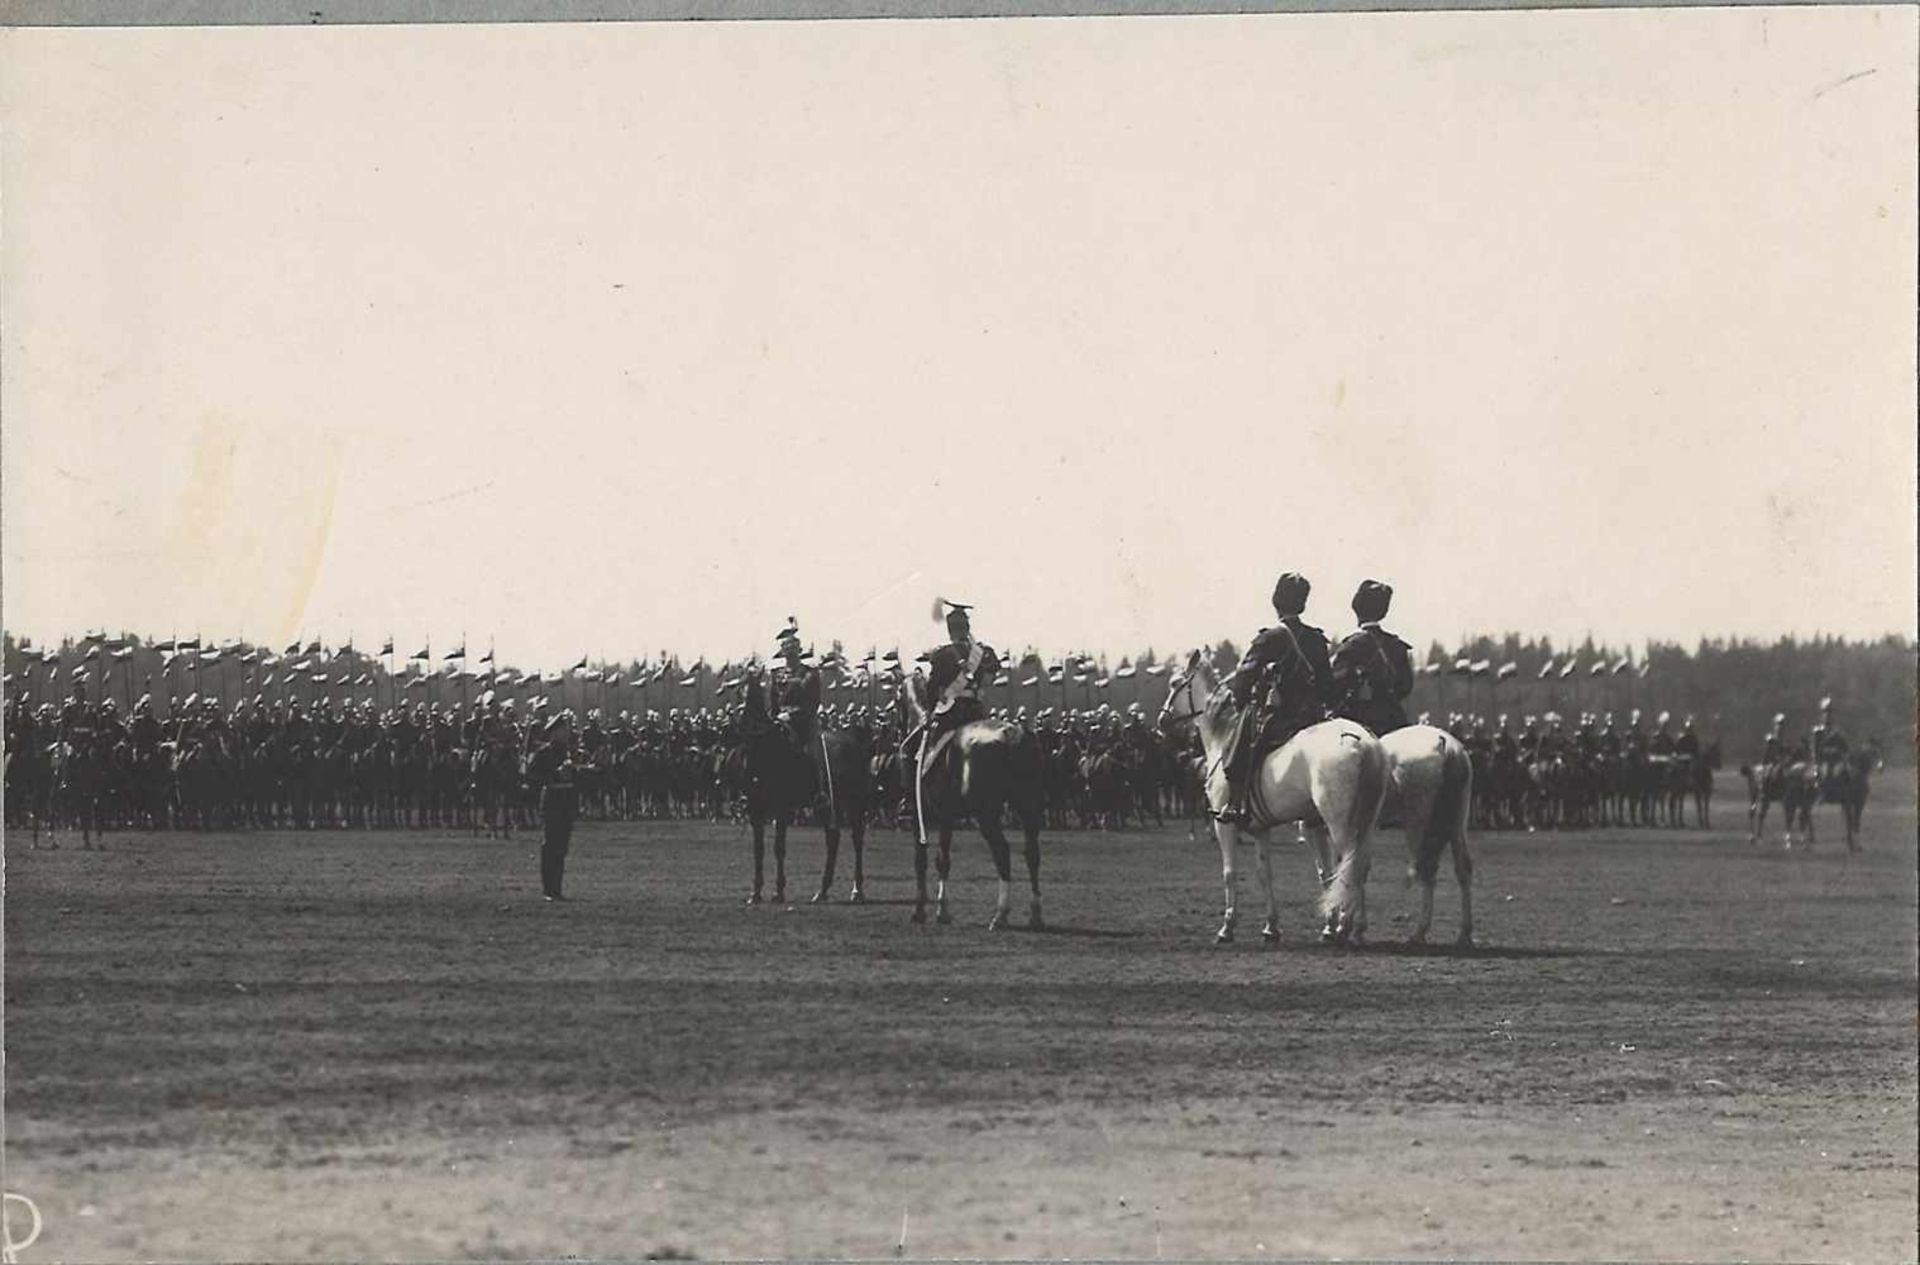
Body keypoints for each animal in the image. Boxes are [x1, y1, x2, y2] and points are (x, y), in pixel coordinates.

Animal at [1152, 656, 1382, 944]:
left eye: (1175, 683)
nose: (1161, 720)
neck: (1223, 737)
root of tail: (1361, 739)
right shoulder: (1261, 829)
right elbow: (1265, 874)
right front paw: (1271, 926)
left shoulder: (1224, 825)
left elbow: (1229, 873)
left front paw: (1227, 927)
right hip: (1364, 822)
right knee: (1359, 866)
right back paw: (1356, 928)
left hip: (1339, 824)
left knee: (1350, 865)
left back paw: (1344, 927)